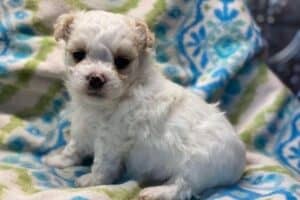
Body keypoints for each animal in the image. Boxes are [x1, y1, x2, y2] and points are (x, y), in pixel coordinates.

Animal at [44, 10, 246, 200]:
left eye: (121, 61)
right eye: (78, 55)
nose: (96, 78)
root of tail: (241, 158)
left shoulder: (111, 140)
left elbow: (102, 164)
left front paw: (92, 180)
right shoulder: (83, 125)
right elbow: (74, 146)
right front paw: (58, 160)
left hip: (198, 163)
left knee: (183, 186)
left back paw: (156, 192)